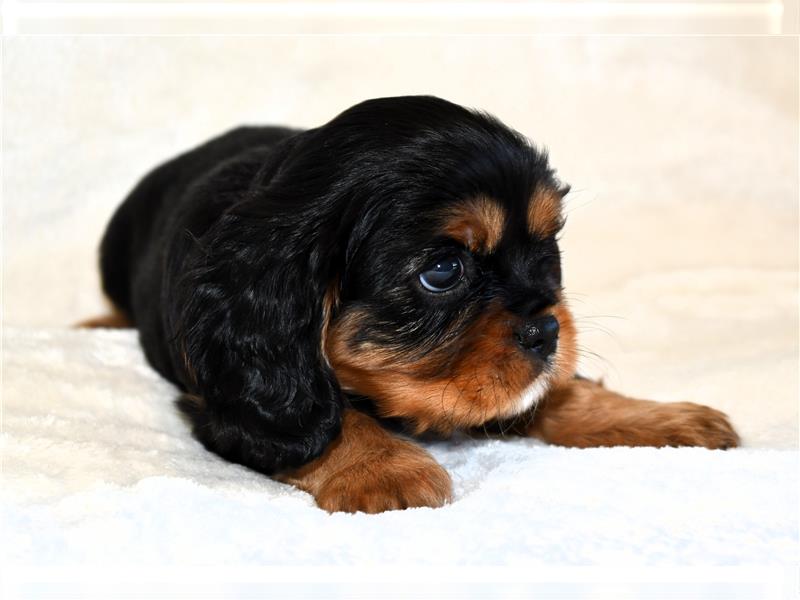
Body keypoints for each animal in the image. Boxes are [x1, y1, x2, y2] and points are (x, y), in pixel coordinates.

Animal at [90, 96, 740, 512]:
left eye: (547, 249)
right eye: (442, 272)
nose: (548, 332)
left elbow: (556, 391)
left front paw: (660, 417)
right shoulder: (225, 403)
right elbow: (328, 416)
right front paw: (383, 468)